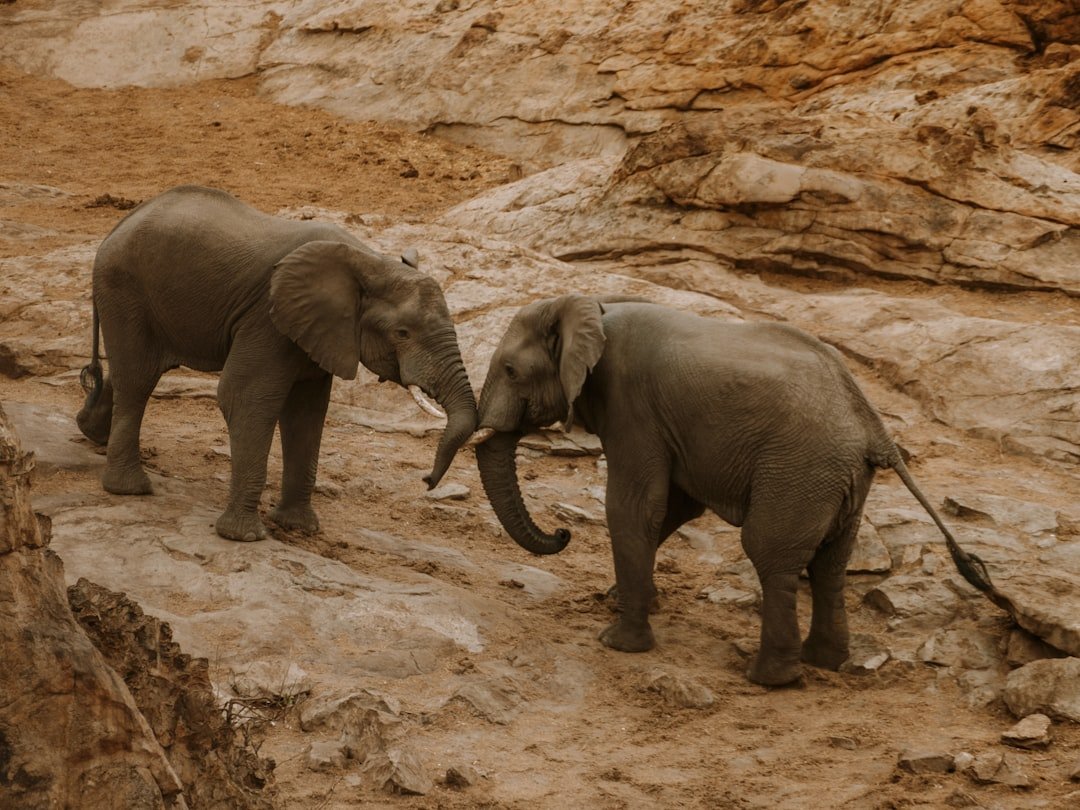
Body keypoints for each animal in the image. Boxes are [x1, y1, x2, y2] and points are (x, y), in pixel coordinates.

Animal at [77, 185, 477, 542]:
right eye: (402, 333)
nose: (426, 481)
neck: (370, 260)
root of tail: (118, 225)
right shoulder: (267, 318)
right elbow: (245, 398)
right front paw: (243, 537)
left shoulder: (317, 332)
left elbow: (307, 412)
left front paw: (299, 528)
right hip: (124, 288)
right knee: (138, 379)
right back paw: (129, 489)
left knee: (136, 371)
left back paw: (91, 433)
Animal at [473, 294, 1012, 687]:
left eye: (510, 371)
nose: (562, 534)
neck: (590, 304)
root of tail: (873, 426)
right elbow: (674, 507)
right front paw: (622, 600)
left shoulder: (632, 405)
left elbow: (635, 507)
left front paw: (617, 642)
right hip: (841, 480)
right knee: (831, 565)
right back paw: (825, 662)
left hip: (800, 468)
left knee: (770, 552)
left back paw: (771, 678)